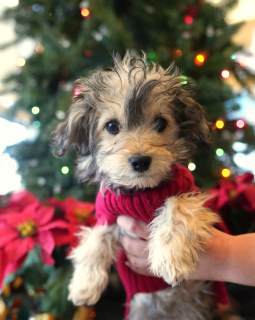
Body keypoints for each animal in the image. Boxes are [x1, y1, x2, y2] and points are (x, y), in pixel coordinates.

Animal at [52, 51, 224, 318]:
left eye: (161, 123)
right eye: (112, 126)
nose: (140, 161)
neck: (140, 191)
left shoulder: (189, 191)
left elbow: (178, 206)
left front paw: (171, 258)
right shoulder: (109, 214)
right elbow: (96, 237)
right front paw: (83, 285)